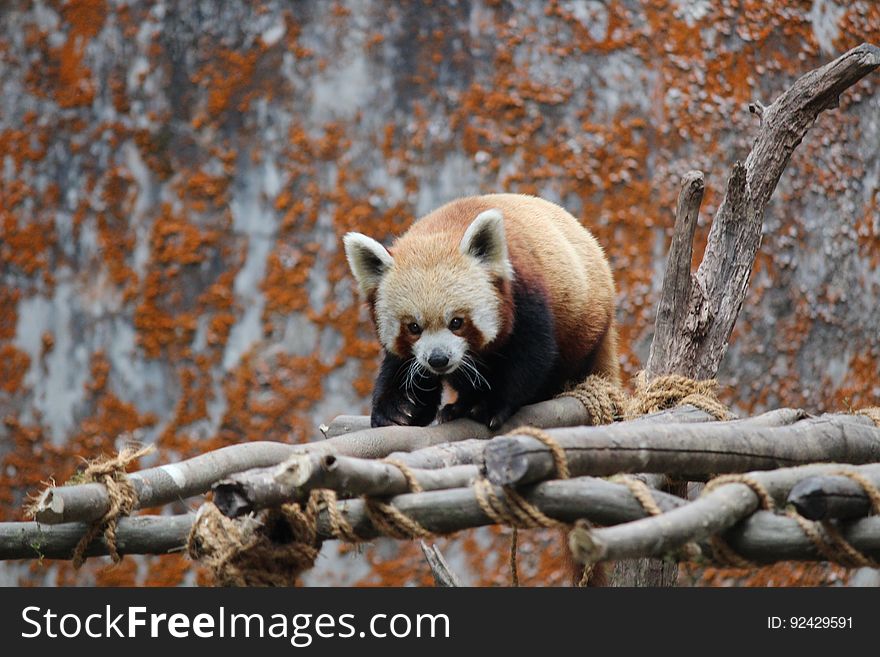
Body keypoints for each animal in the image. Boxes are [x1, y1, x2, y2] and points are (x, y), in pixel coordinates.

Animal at [344, 193, 620, 430]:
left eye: (457, 322)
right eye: (413, 327)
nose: (438, 359)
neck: (442, 227)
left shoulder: (526, 296)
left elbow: (531, 356)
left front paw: (488, 405)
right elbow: (401, 367)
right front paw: (398, 409)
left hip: (585, 326)